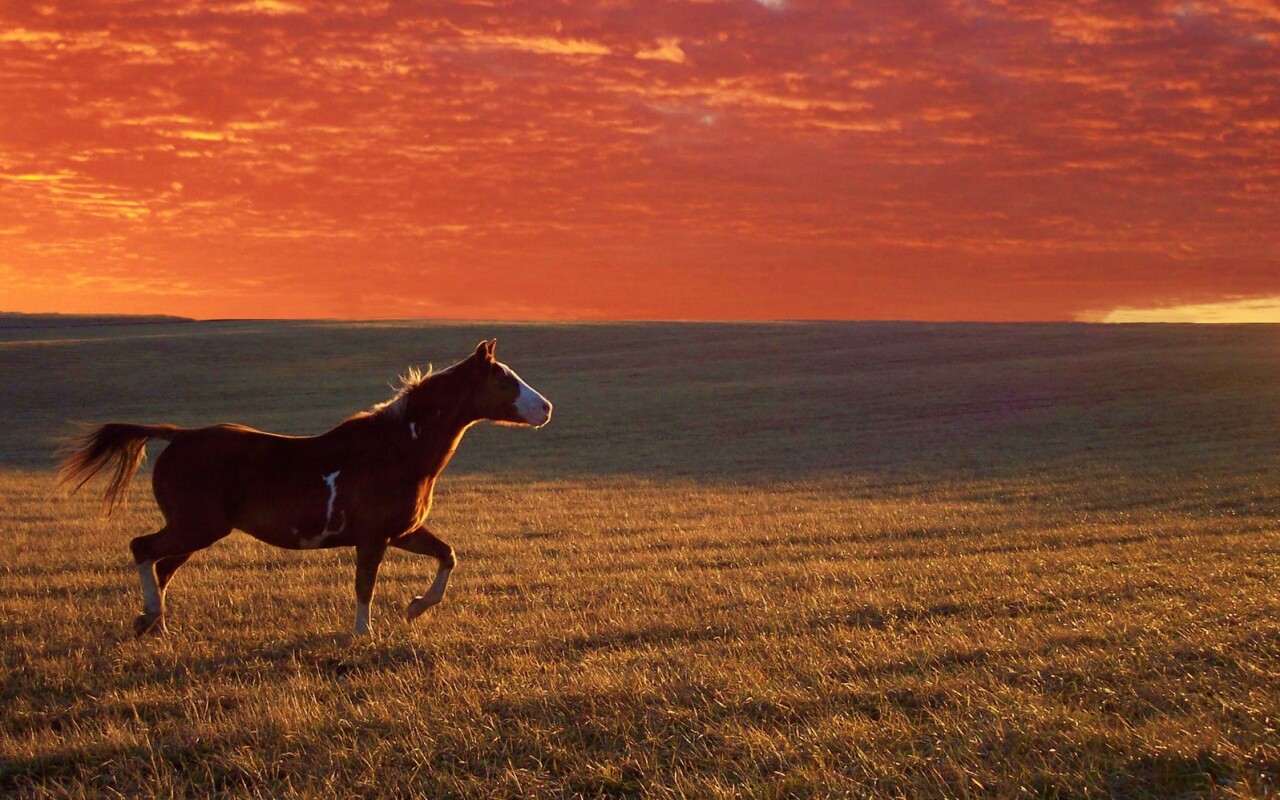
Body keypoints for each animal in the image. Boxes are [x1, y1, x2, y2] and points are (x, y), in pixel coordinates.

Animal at [57, 339, 552, 638]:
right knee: (143, 549)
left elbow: (447, 555)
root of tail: (178, 436)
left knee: (162, 567)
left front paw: (415, 607)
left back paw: (156, 624)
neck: (399, 450)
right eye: (505, 379)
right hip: (195, 527)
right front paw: (364, 635)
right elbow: (364, 585)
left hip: (197, 531)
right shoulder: (373, 537)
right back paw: (149, 616)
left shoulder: (403, 532)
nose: (546, 408)